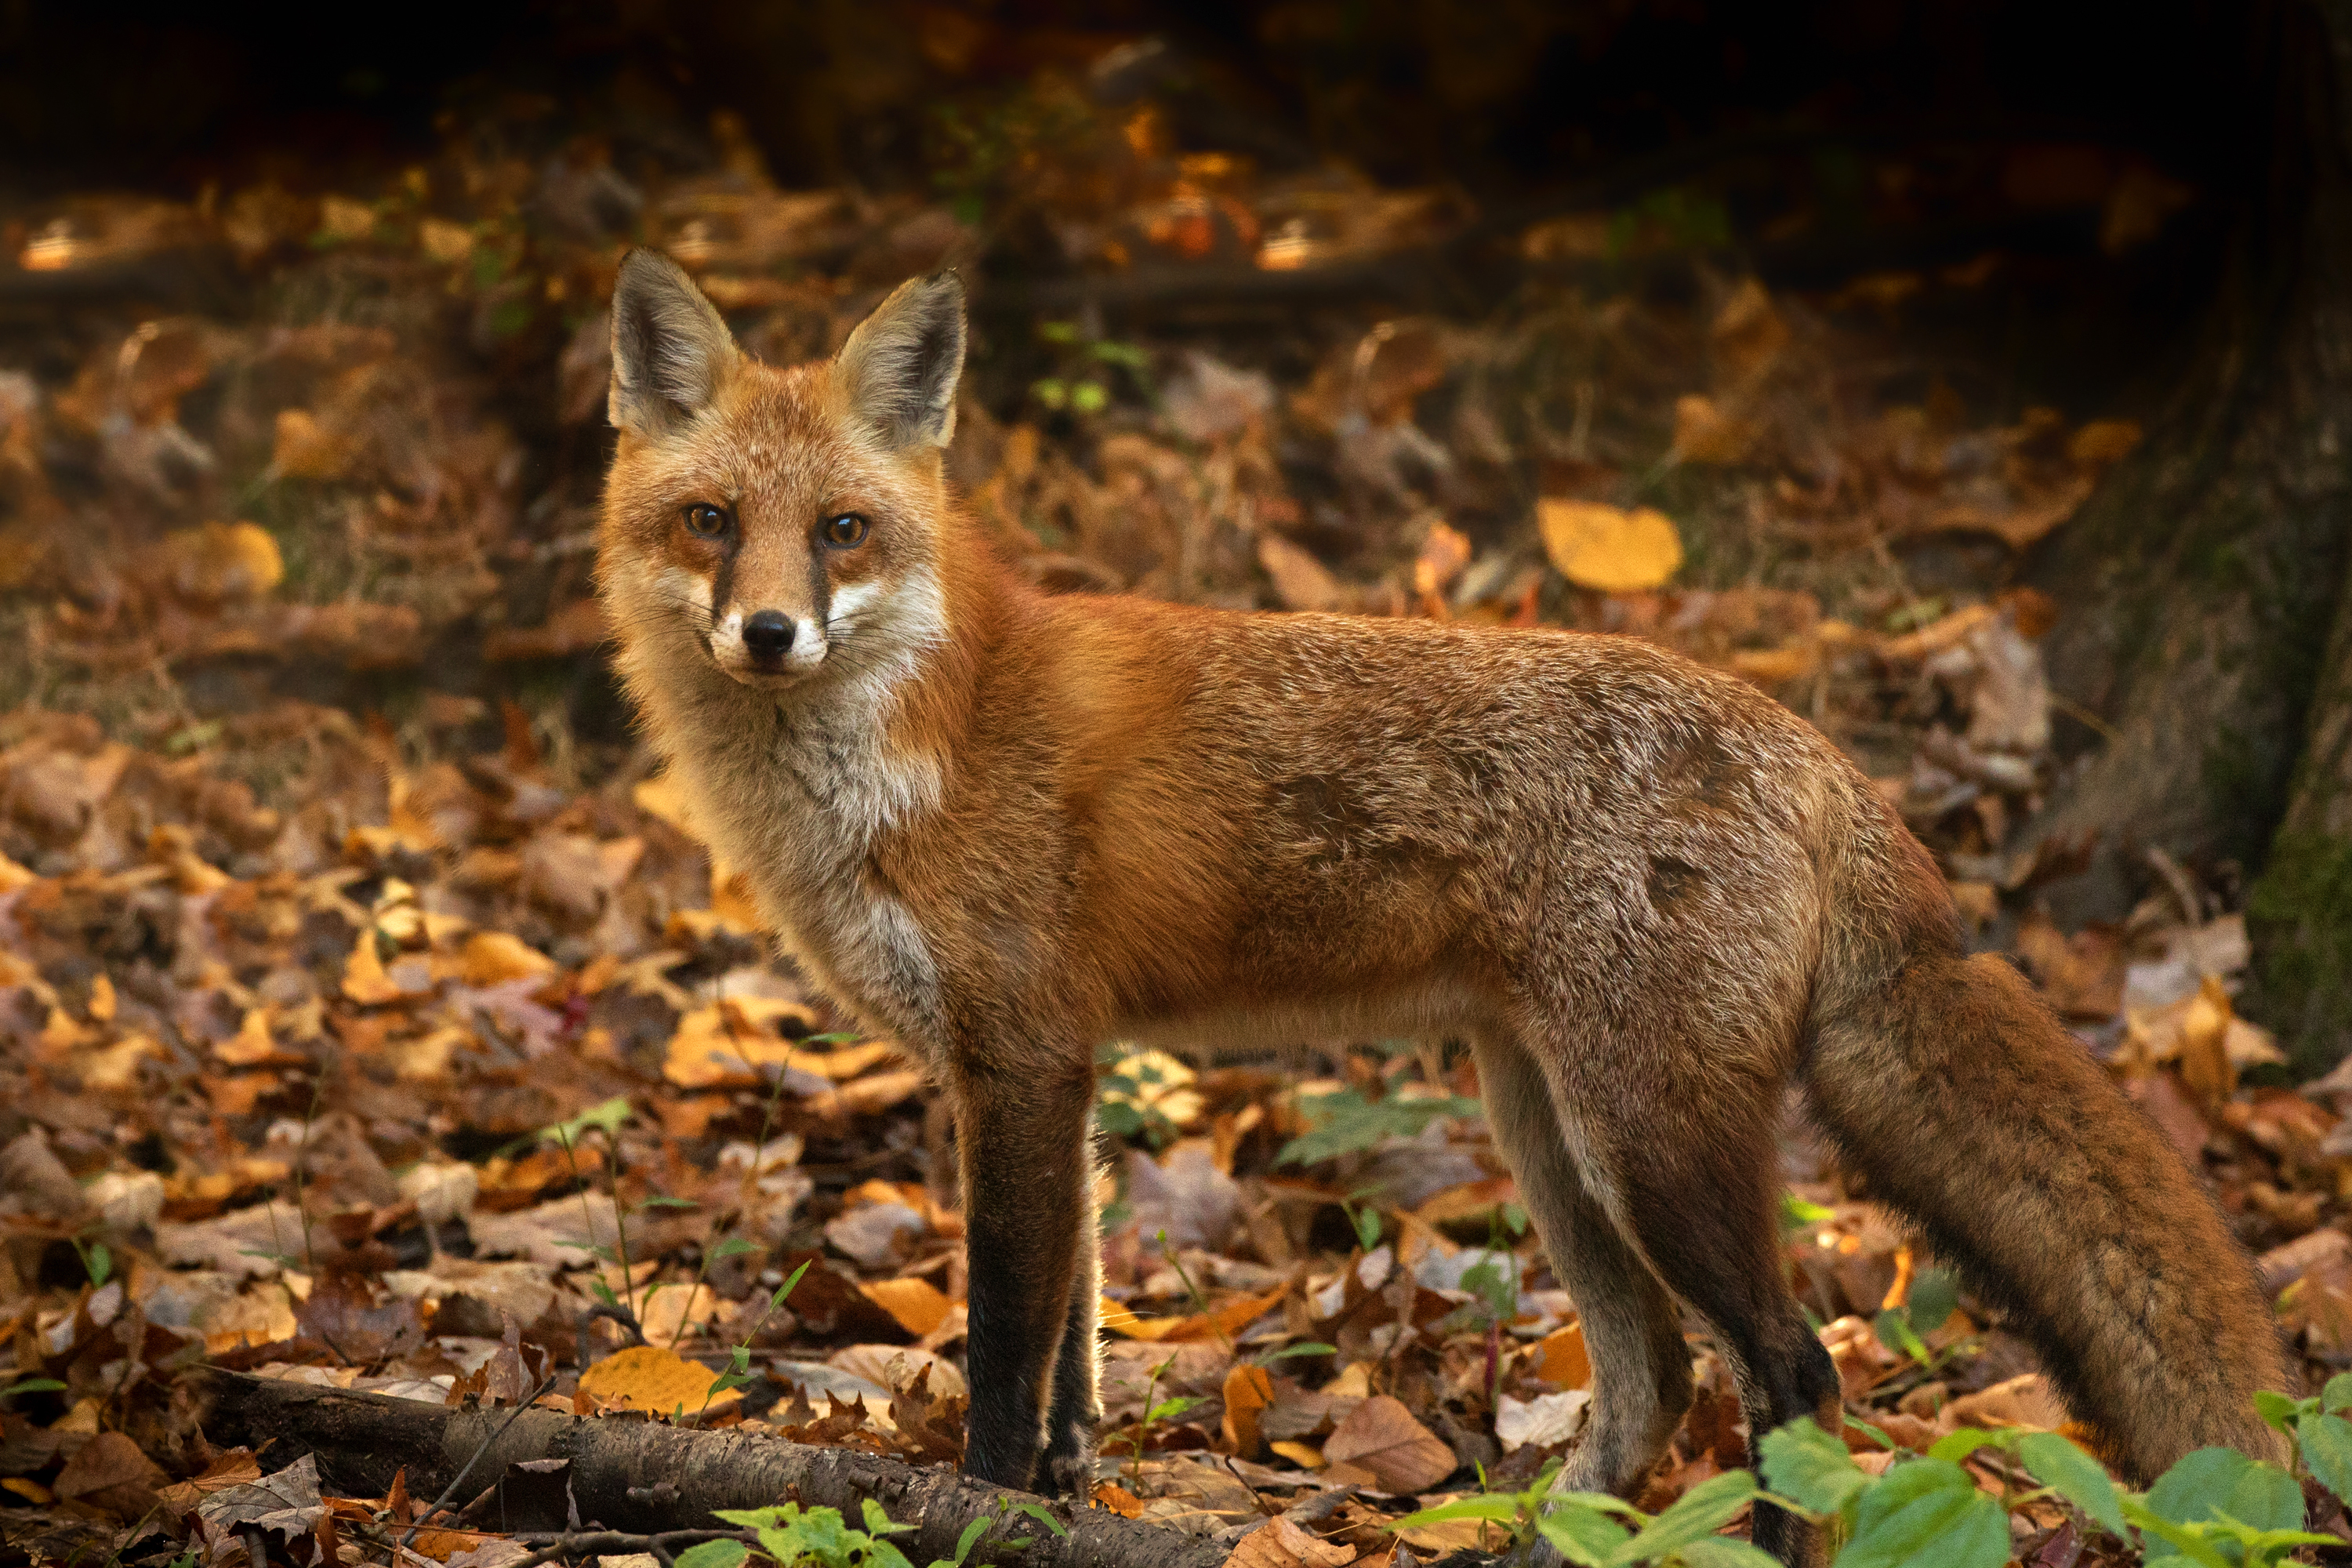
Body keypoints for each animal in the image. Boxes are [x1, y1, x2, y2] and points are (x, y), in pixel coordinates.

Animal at [597, 251, 2286, 1561]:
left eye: (842, 532)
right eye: (709, 523)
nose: (767, 633)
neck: (920, 739)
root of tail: (1818, 753)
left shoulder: (1017, 1052)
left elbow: (1012, 1346)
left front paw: (983, 1512)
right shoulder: (1056, 1071)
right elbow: (1080, 1342)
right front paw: (1066, 1500)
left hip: (1649, 1143)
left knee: (1795, 1376)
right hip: (1548, 1131)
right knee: (1657, 1382)